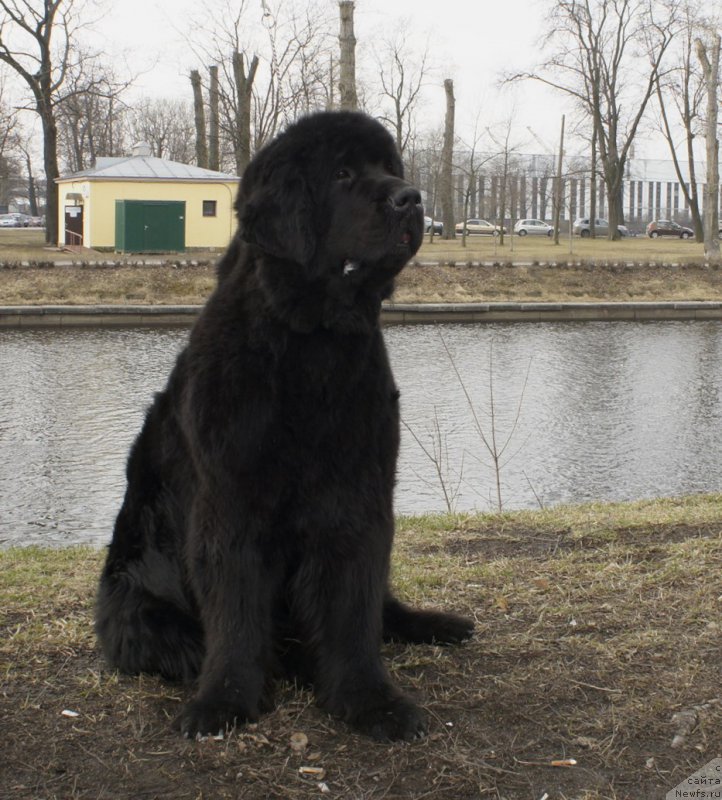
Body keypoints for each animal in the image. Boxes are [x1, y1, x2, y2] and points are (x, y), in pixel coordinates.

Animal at [94, 109, 472, 740]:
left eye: (388, 167)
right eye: (342, 174)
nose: (411, 198)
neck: (312, 344)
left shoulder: (358, 496)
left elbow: (353, 609)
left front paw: (369, 700)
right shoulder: (231, 502)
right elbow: (236, 612)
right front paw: (225, 700)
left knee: (382, 608)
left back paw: (433, 625)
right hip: (137, 609)